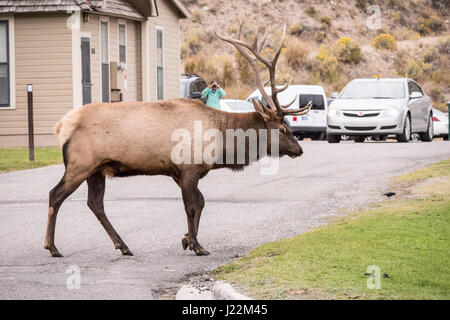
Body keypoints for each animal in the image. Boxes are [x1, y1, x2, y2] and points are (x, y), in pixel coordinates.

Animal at [46, 21, 312, 258]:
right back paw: (53, 247)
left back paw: (123, 246)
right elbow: (192, 205)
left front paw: (186, 239)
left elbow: (201, 202)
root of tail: (62, 125)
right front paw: (197, 245)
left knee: (95, 203)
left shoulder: (178, 172)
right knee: (56, 194)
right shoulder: (189, 168)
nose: (299, 149)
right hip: (80, 163)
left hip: (97, 169)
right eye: (282, 129)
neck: (221, 145)